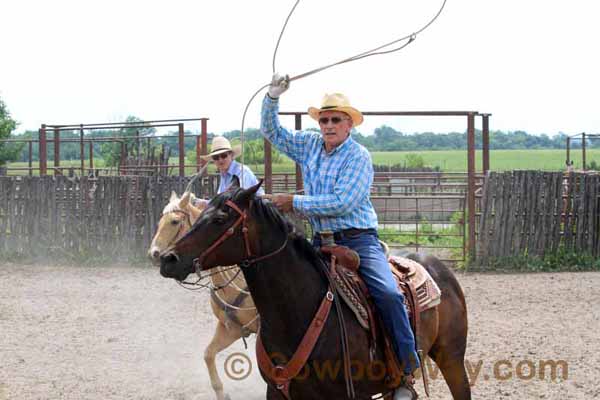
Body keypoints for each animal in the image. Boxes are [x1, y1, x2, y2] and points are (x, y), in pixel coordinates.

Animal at [148, 191, 258, 400]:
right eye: (159, 221)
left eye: (174, 221)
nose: (154, 253)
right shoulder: (230, 328)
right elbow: (208, 354)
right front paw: (222, 393)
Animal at [161, 184, 474, 400]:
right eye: (200, 215)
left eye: (220, 219)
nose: (167, 259)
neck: (299, 311)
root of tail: (436, 265)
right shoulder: (277, 392)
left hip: (452, 359)